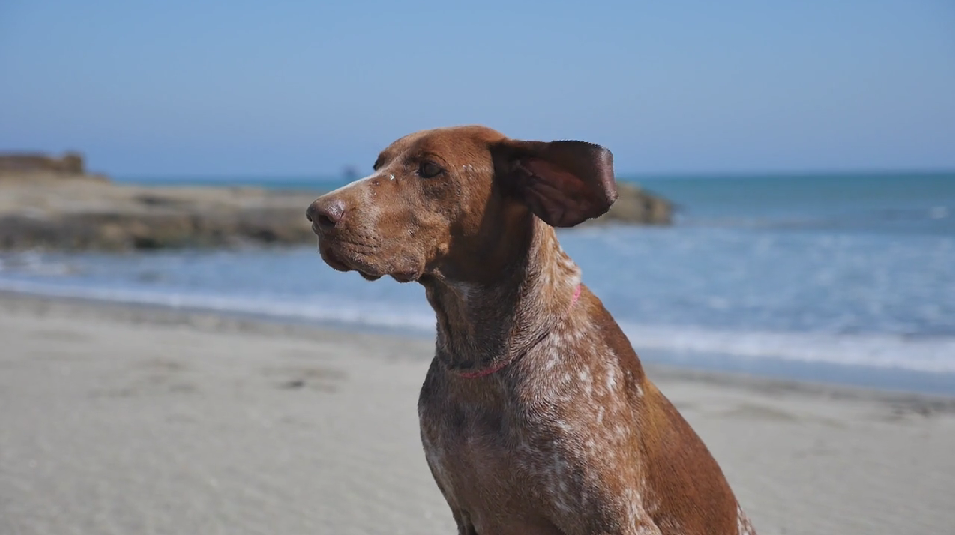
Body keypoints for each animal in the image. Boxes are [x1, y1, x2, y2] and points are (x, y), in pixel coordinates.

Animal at [306, 126, 756, 535]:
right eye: (377, 167)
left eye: (430, 169)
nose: (317, 215)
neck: (485, 359)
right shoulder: (465, 513)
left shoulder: (620, 520)